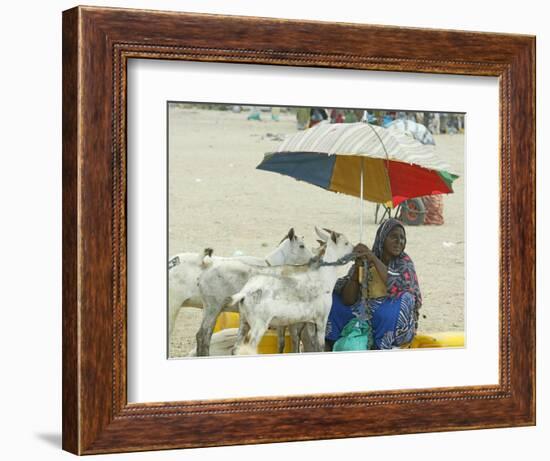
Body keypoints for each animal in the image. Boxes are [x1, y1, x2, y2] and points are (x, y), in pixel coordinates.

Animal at [196, 227, 312, 356]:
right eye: (301, 246)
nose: (313, 259)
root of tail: (204, 273)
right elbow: (288, 341)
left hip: (209, 309)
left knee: (203, 335)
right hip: (213, 309)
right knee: (203, 335)